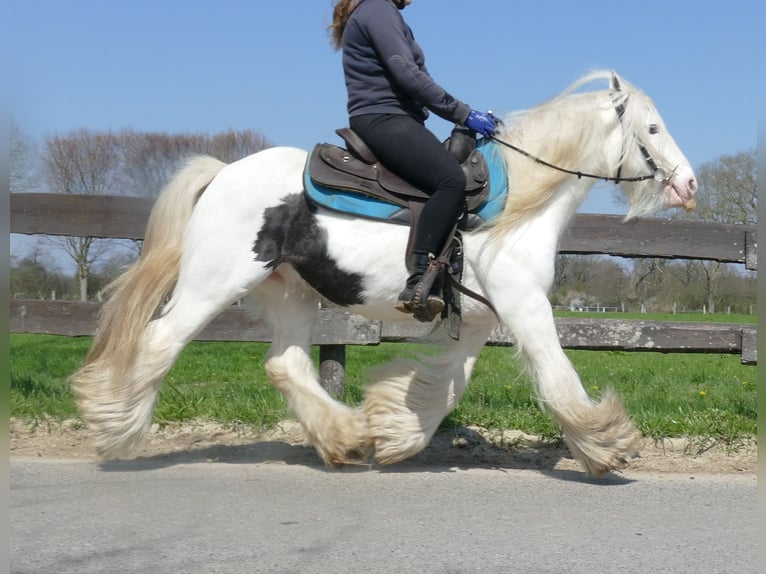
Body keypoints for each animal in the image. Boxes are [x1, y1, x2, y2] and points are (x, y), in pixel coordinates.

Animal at [72, 72, 704, 476]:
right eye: (651, 130)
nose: (689, 184)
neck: (515, 203)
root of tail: (223, 172)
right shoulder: (524, 305)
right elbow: (556, 376)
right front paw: (607, 446)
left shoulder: (480, 316)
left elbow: (447, 385)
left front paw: (395, 433)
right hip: (214, 283)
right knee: (159, 341)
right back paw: (114, 426)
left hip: (291, 294)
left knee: (284, 364)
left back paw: (345, 440)